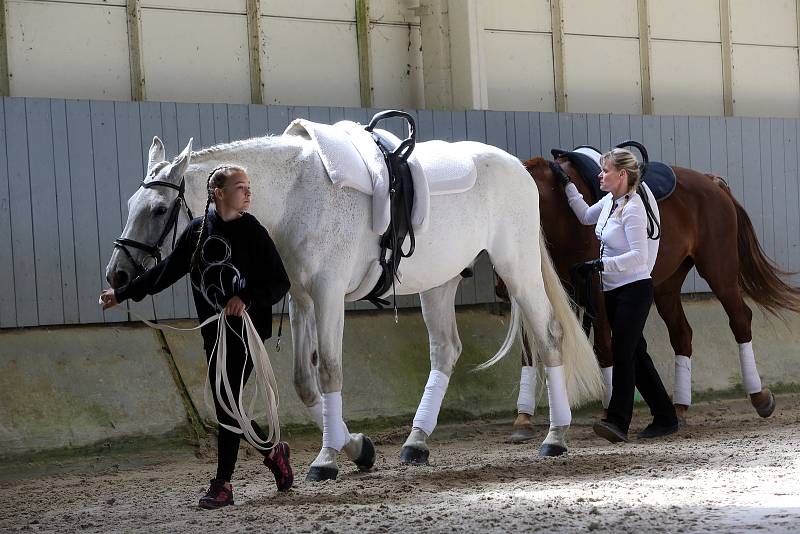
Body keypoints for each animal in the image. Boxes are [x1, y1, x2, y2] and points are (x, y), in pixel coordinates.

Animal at [106, 133, 604, 482]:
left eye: (157, 209)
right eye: (131, 203)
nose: (117, 278)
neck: (296, 196)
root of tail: (518, 167)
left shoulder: (328, 296)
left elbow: (329, 370)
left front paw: (327, 459)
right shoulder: (303, 300)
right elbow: (304, 382)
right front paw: (359, 448)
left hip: (517, 265)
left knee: (549, 334)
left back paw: (555, 437)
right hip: (439, 282)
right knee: (446, 350)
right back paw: (416, 443)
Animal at [504, 155, 800, 444]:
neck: (563, 215)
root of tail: (711, 182)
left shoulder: (597, 291)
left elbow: (604, 347)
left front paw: (609, 412)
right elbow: (530, 351)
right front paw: (523, 419)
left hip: (719, 271)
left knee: (740, 320)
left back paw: (759, 396)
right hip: (667, 286)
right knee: (682, 334)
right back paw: (679, 409)